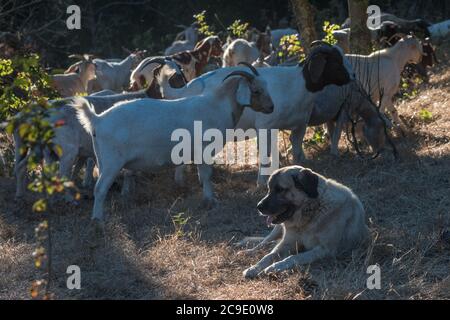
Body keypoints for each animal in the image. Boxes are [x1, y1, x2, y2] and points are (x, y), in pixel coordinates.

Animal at [74, 69, 274, 220]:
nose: (271, 108)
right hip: (111, 163)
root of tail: (98, 119)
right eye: (256, 90)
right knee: (100, 189)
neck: (217, 105)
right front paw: (211, 200)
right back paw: (98, 219)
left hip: (101, 160)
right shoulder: (203, 151)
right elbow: (207, 176)